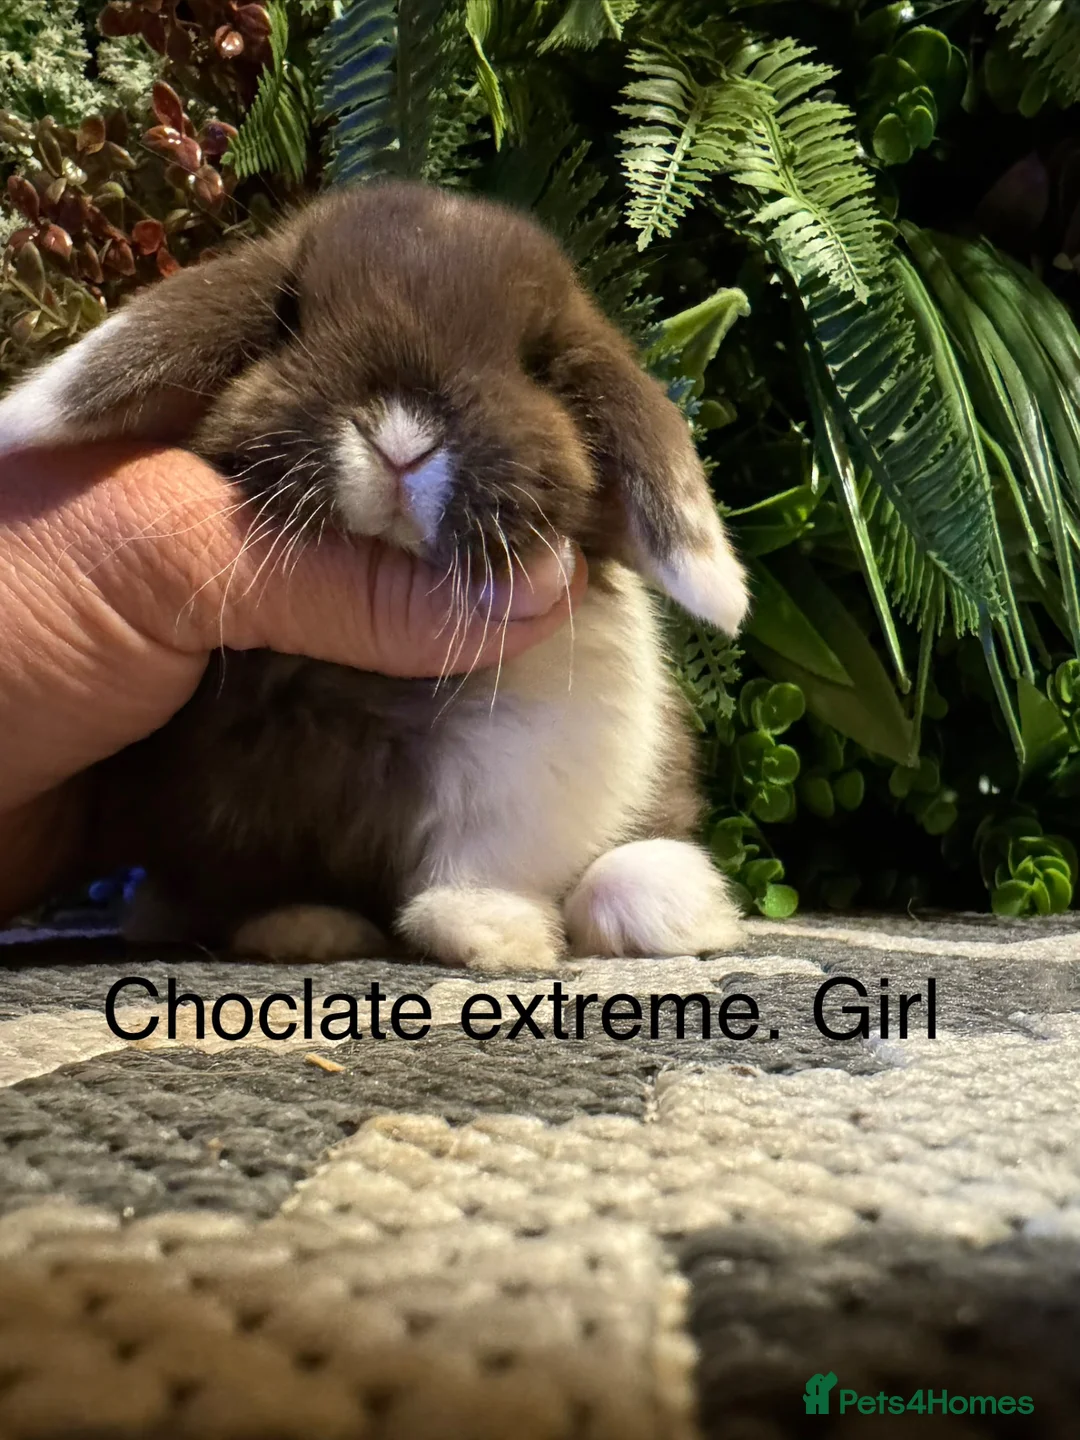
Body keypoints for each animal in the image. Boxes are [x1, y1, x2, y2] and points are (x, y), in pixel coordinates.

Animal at [0, 179, 750, 972]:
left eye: (537, 364)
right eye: (289, 319)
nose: (401, 440)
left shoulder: (532, 751)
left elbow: (483, 853)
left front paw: (492, 931)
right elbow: (246, 875)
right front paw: (302, 925)